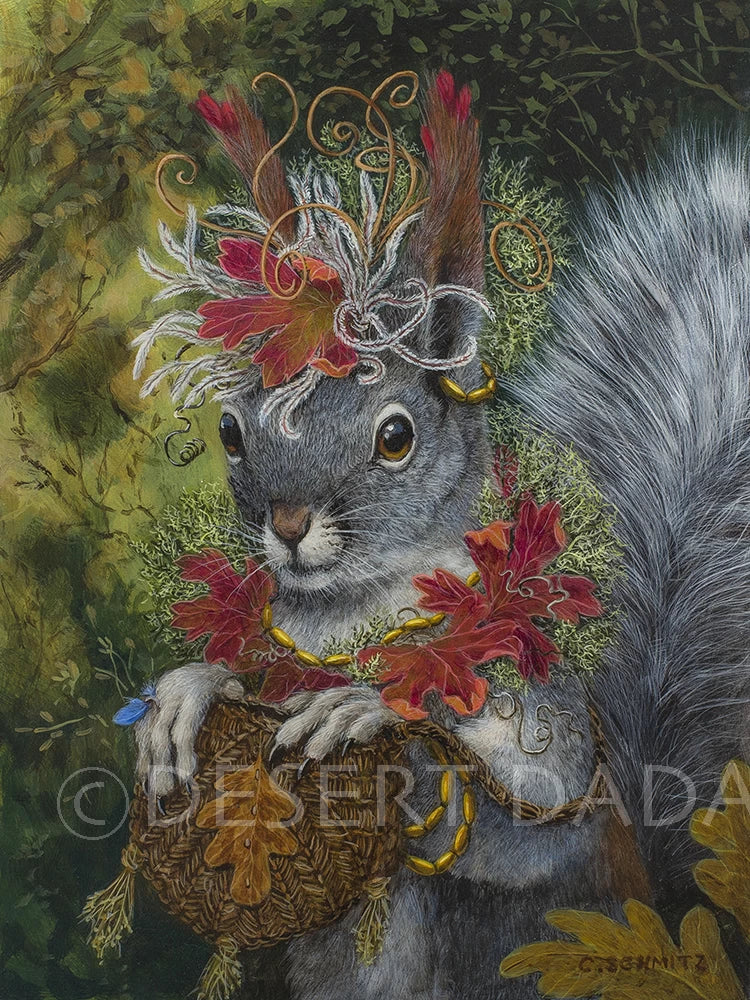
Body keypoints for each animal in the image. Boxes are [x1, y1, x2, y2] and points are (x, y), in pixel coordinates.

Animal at [133, 75, 750, 998]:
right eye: (232, 432)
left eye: (396, 437)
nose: (289, 526)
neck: (348, 617)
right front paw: (189, 692)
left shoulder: (542, 710)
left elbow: (536, 808)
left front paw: (373, 717)